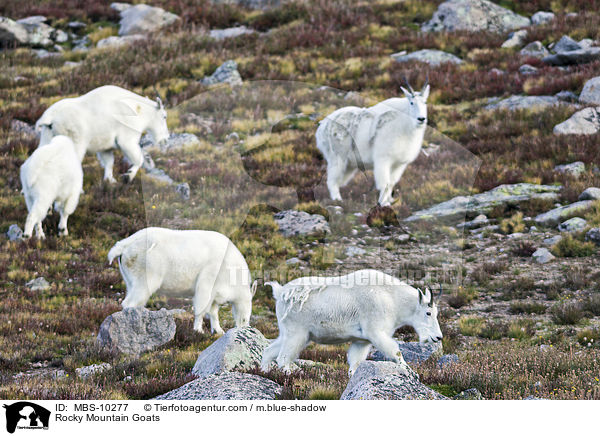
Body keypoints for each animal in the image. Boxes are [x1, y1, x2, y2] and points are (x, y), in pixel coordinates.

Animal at [35, 86, 169, 183]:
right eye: (164, 116)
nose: (166, 139)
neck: (138, 110)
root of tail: (50, 118)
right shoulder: (127, 138)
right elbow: (138, 159)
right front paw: (128, 176)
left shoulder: (105, 146)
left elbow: (109, 162)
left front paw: (110, 181)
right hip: (74, 139)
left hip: (47, 136)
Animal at [108, 227, 255, 336]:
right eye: (245, 318)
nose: (244, 328)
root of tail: (124, 246)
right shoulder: (209, 277)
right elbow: (202, 305)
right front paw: (198, 330)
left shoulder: (217, 290)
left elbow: (213, 310)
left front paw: (218, 330)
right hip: (145, 270)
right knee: (133, 299)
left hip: (129, 276)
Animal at [260, 270, 442, 374]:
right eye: (428, 313)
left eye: (436, 313)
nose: (438, 337)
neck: (393, 299)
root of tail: (280, 293)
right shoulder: (375, 331)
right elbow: (395, 351)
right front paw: (409, 372)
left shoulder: (361, 340)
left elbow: (355, 363)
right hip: (296, 333)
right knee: (283, 358)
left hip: (291, 333)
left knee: (269, 351)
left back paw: (264, 371)